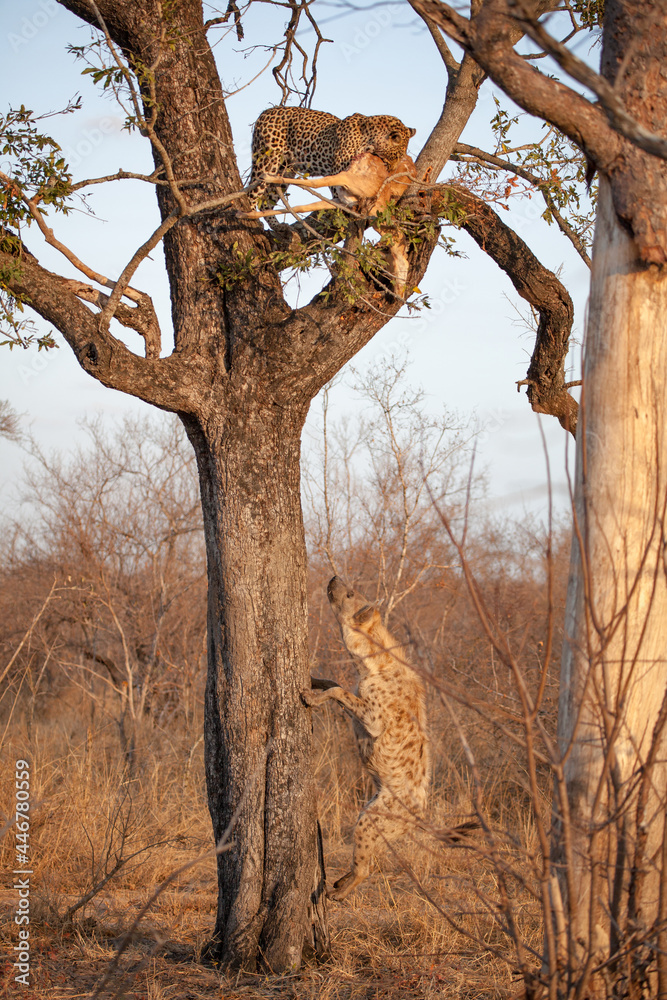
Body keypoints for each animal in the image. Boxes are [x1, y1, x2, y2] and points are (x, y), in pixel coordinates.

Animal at [249, 106, 416, 210]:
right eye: (395, 156)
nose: (392, 170)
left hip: (287, 169)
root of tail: (264, 113)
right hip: (267, 160)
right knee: (253, 194)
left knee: (266, 203)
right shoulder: (339, 169)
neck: (368, 139)